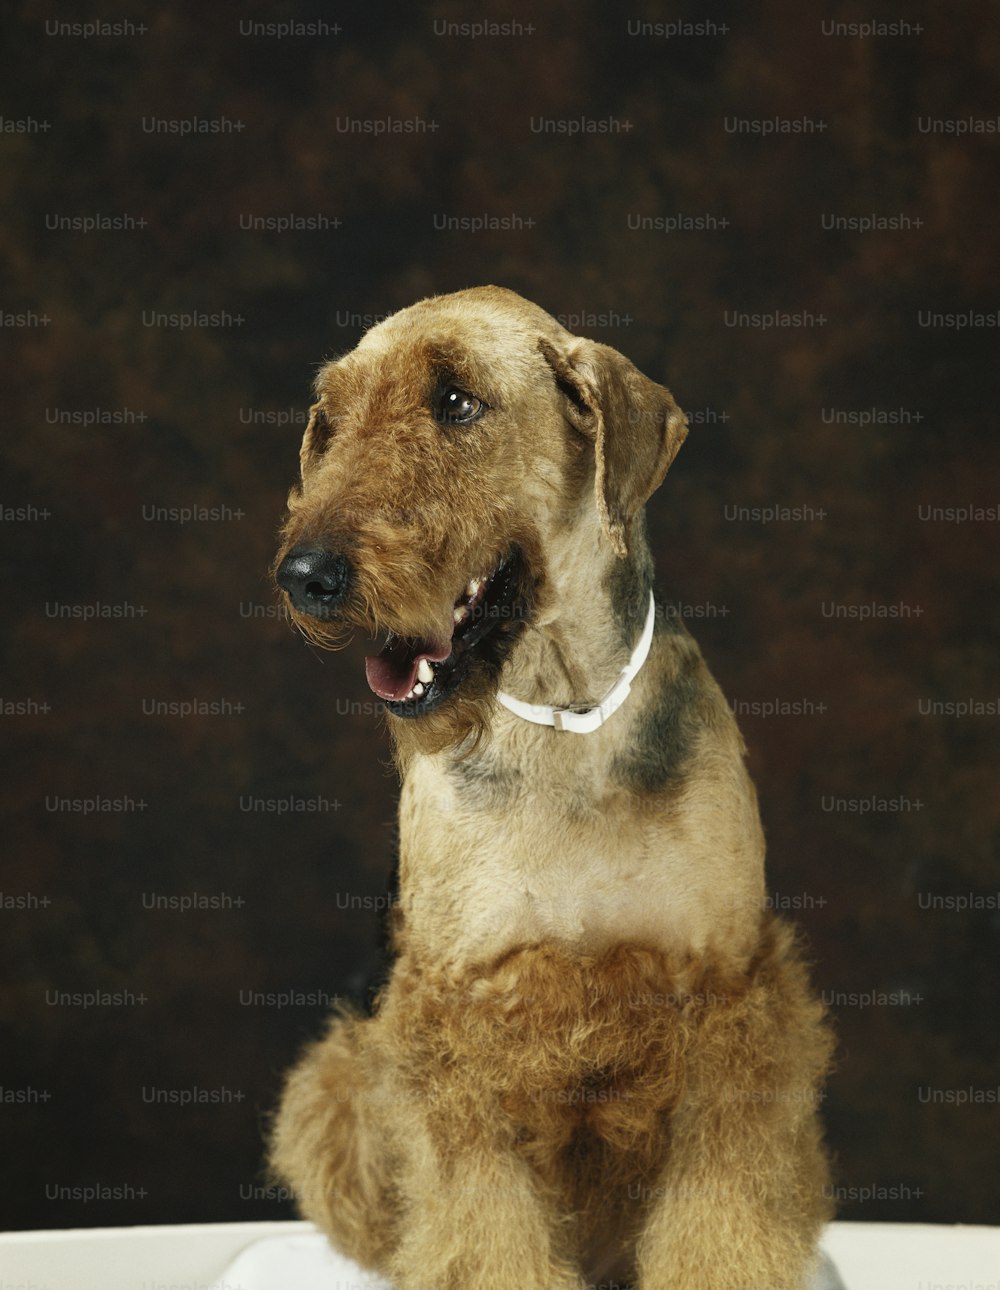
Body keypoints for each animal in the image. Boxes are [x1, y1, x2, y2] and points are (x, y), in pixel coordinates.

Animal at [268, 287, 836, 1284]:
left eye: (457, 402)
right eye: (328, 421)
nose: (308, 576)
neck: (563, 713)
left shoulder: (732, 995)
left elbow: (722, 1207)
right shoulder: (452, 1016)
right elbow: (478, 1225)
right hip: (331, 1083)